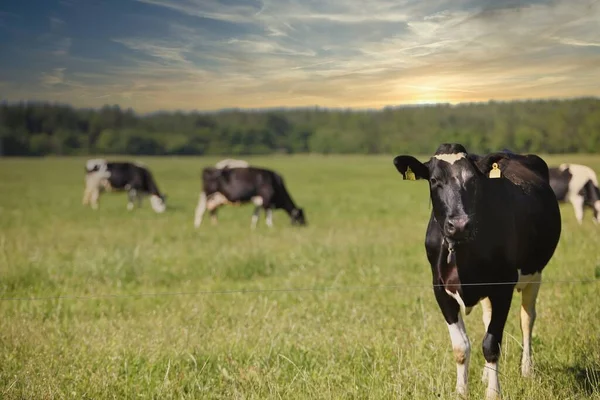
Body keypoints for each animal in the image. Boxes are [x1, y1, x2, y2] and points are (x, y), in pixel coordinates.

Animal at [394, 144, 564, 400]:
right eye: (434, 180)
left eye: (472, 180)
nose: (459, 224)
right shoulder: (440, 290)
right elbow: (461, 346)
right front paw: (461, 390)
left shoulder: (504, 287)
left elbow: (491, 343)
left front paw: (493, 392)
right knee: (488, 317)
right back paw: (486, 374)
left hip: (535, 273)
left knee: (527, 319)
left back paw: (526, 369)